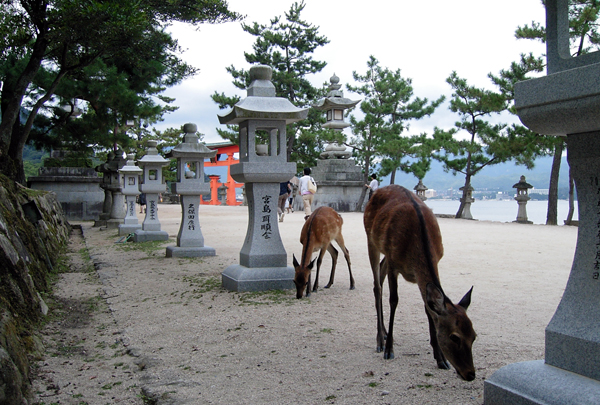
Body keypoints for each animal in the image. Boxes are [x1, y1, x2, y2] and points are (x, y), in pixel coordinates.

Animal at [364, 185, 476, 380]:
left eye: (474, 335)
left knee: (381, 273)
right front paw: (389, 350)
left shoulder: (422, 270)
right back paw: (380, 340)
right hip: (371, 241)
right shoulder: (394, 263)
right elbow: (394, 300)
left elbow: (428, 308)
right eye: (454, 337)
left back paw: (384, 333)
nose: (470, 374)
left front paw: (440, 359)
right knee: (377, 286)